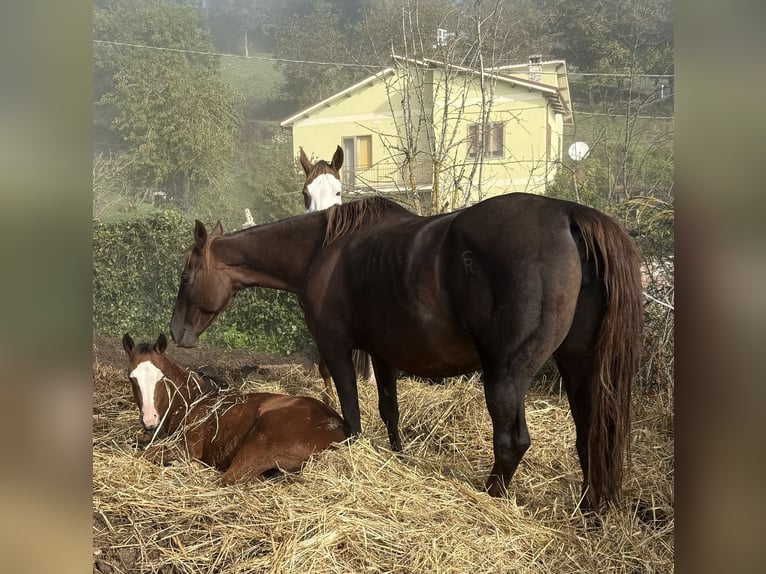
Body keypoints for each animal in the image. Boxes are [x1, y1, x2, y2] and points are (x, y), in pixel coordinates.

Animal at [123, 332, 348, 486]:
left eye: (161, 378)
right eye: (131, 378)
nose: (149, 420)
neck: (194, 400)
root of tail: (340, 430)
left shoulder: (186, 447)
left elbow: (141, 455)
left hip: (260, 445)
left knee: (227, 479)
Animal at [171, 196, 644, 510]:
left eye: (185, 276)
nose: (176, 332)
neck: (320, 252)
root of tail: (567, 214)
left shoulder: (337, 349)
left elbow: (352, 416)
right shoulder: (382, 355)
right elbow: (389, 411)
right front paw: (396, 459)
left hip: (506, 373)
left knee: (513, 442)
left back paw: (489, 498)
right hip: (578, 366)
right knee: (589, 436)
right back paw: (589, 509)